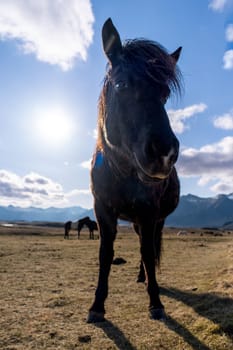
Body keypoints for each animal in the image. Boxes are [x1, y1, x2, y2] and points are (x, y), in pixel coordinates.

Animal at [87, 17, 182, 322]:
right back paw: (142, 278)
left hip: (155, 219)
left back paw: (148, 280)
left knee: (149, 246)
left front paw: (156, 302)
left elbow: (149, 252)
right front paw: (97, 306)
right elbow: (105, 254)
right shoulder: (103, 210)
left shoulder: (149, 213)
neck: (122, 172)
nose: (165, 153)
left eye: (165, 93)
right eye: (121, 84)